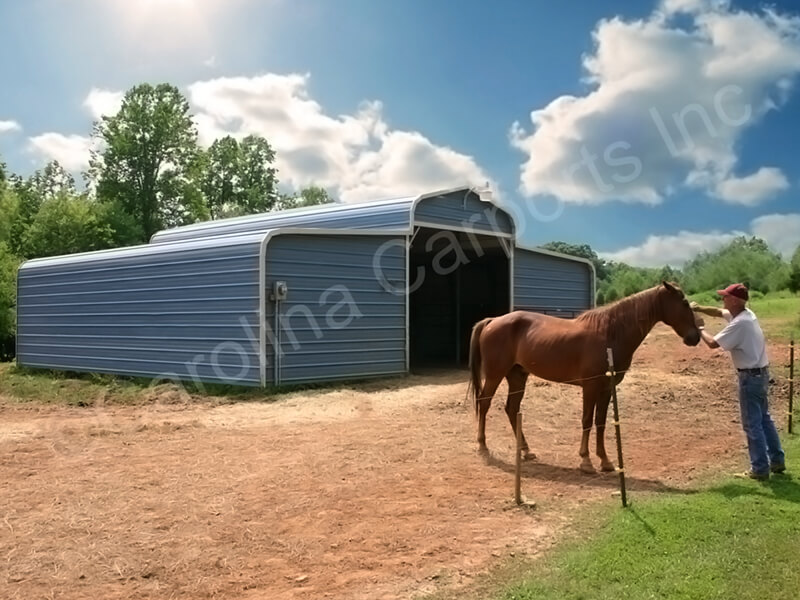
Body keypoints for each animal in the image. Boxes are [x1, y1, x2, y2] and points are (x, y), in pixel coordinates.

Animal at [468, 282, 700, 474]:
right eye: (684, 303)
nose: (695, 337)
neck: (609, 333)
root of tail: (492, 320)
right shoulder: (590, 387)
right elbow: (587, 420)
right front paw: (586, 461)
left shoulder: (606, 389)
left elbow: (600, 422)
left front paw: (605, 461)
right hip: (495, 374)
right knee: (484, 403)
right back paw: (482, 445)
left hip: (517, 376)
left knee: (511, 408)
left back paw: (526, 451)